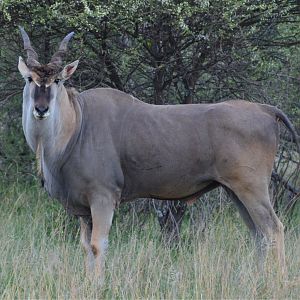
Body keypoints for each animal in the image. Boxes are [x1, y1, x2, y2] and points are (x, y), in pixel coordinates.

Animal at [18, 27, 298, 282]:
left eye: (57, 81)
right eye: (30, 79)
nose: (41, 109)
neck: (77, 124)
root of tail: (265, 109)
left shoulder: (103, 197)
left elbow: (98, 246)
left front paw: (98, 285)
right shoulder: (84, 210)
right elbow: (86, 247)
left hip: (252, 188)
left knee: (274, 229)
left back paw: (279, 281)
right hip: (235, 191)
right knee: (258, 234)